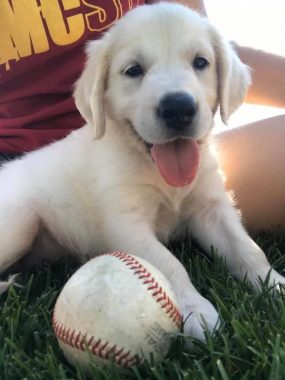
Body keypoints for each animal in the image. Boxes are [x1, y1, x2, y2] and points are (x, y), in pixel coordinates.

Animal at [1, 2, 282, 342]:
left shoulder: (211, 206)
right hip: (19, 220)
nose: (178, 108)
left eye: (201, 62)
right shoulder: (126, 223)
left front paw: (274, 284)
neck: (155, 169)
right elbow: (168, 264)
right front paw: (196, 311)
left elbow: (247, 249)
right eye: (133, 70)